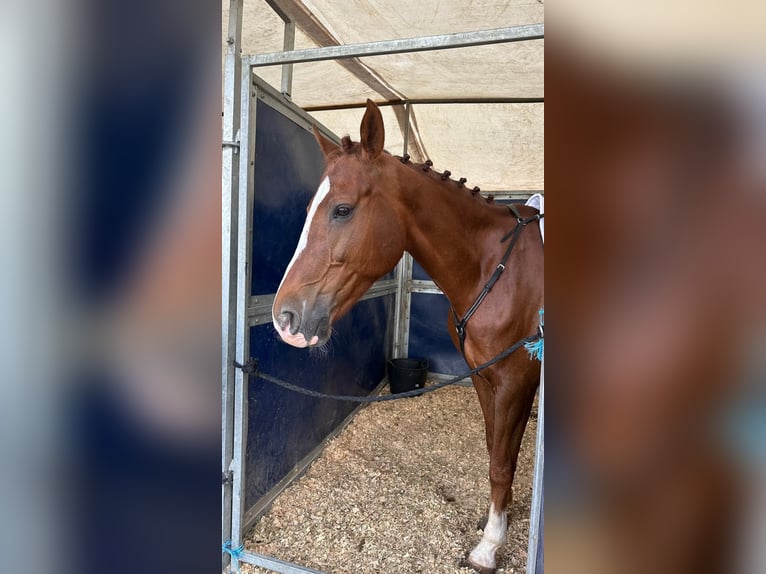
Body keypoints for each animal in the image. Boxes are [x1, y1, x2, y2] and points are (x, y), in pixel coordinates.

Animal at [272, 101, 544, 572]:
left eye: (342, 209)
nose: (284, 318)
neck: (499, 271)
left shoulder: (516, 381)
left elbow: (501, 462)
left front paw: (489, 546)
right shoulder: (484, 377)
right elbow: (496, 449)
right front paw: (497, 520)